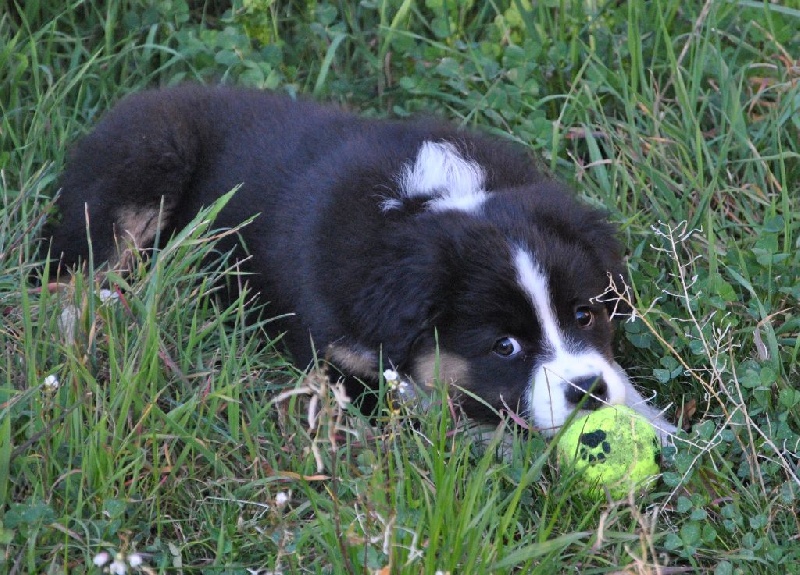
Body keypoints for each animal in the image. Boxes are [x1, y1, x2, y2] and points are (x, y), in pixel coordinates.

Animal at [45, 83, 676, 438]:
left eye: (584, 315)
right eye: (505, 347)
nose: (587, 392)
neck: (426, 204)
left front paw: (659, 426)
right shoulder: (336, 361)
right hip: (148, 164)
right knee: (71, 276)